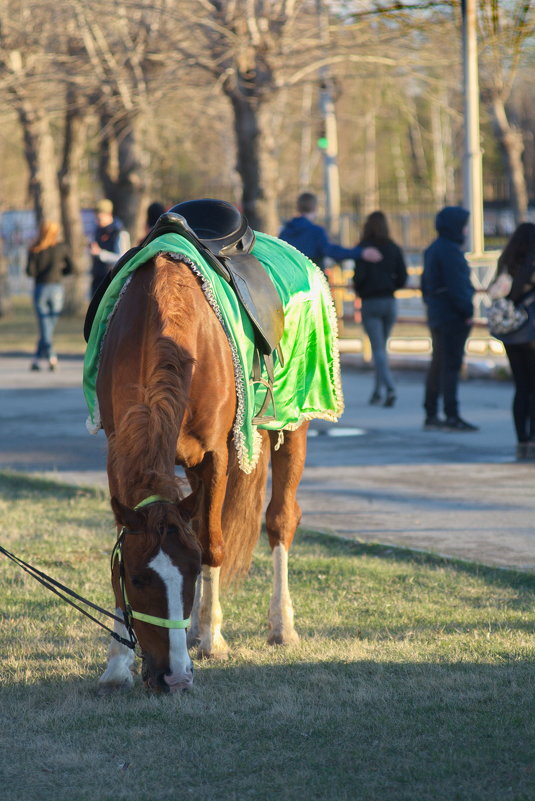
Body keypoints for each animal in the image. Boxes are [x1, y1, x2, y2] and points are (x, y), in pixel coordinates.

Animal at [95, 253, 306, 692]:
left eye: (191, 574)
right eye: (137, 579)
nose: (174, 676)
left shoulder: (215, 455)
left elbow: (212, 544)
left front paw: (212, 638)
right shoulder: (117, 448)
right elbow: (122, 542)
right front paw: (117, 663)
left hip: (296, 419)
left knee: (281, 519)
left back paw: (281, 625)